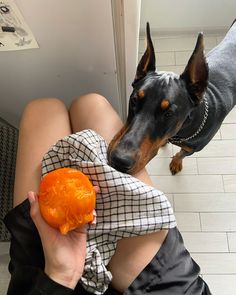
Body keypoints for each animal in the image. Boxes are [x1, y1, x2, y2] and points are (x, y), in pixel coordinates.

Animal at [107, 22, 236, 177]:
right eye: (134, 100)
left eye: (169, 114)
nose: (119, 160)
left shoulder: (192, 149)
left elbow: (181, 154)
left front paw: (176, 162)